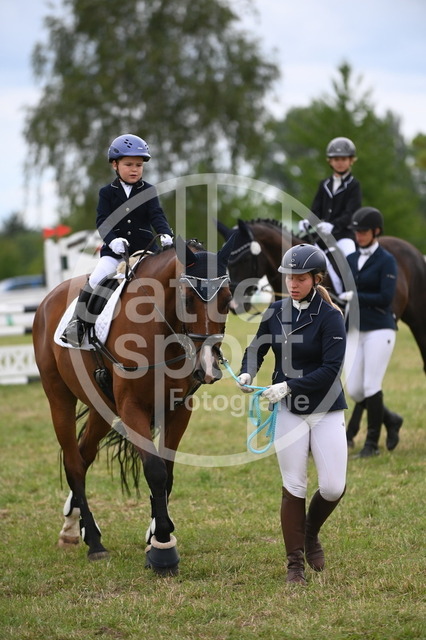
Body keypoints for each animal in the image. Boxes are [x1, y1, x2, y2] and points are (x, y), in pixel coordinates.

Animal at [33, 235, 235, 575]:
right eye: (186, 299)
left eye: (227, 299)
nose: (207, 369)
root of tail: (48, 299)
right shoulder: (132, 408)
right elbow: (154, 470)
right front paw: (163, 548)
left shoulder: (179, 409)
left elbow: (167, 470)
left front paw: (155, 535)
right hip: (58, 398)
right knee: (73, 462)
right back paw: (94, 543)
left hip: (101, 408)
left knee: (84, 456)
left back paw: (73, 528)